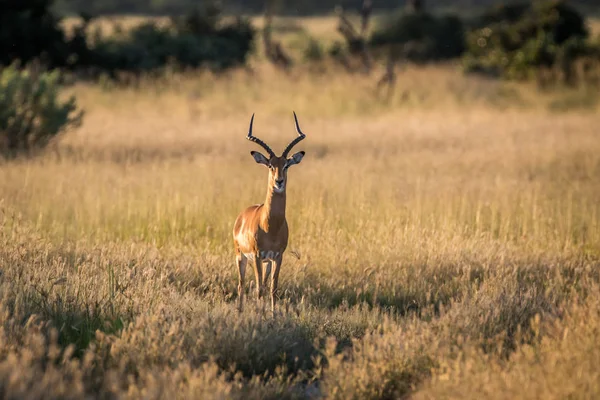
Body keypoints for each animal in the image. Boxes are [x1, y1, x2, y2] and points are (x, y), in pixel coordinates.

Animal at [232, 112, 308, 312]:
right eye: (270, 165)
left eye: (286, 165)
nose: (279, 181)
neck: (270, 225)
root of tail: (241, 216)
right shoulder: (258, 255)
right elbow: (259, 289)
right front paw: (260, 315)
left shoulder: (277, 257)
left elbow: (273, 288)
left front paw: (272, 315)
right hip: (241, 257)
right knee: (242, 284)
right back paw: (240, 312)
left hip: (265, 263)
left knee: (263, 285)